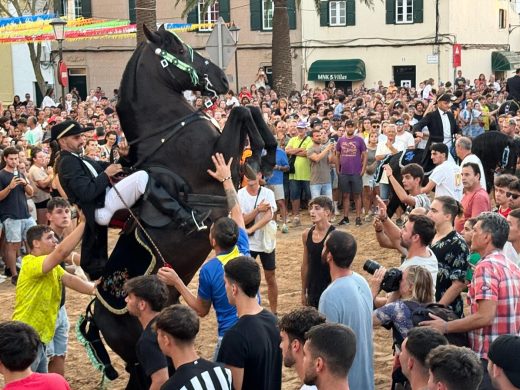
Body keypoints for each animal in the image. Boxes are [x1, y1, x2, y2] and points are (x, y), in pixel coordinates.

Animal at [87, 25, 278, 390]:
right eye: (177, 47)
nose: (221, 77)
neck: (166, 132)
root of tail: (96, 313)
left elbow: (251, 110)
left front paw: (268, 153)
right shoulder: (219, 161)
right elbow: (242, 112)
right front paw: (262, 155)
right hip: (142, 355)